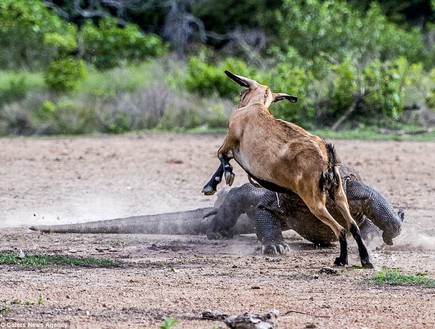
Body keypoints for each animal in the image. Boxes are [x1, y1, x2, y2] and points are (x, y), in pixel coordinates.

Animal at [203, 70, 372, 266]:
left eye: (241, 93)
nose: (239, 102)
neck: (256, 106)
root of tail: (327, 159)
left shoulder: (230, 141)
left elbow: (221, 156)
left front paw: (219, 180)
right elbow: (224, 160)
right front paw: (214, 183)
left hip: (315, 201)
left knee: (341, 229)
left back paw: (342, 259)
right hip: (339, 195)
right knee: (353, 227)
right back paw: (365, 260)